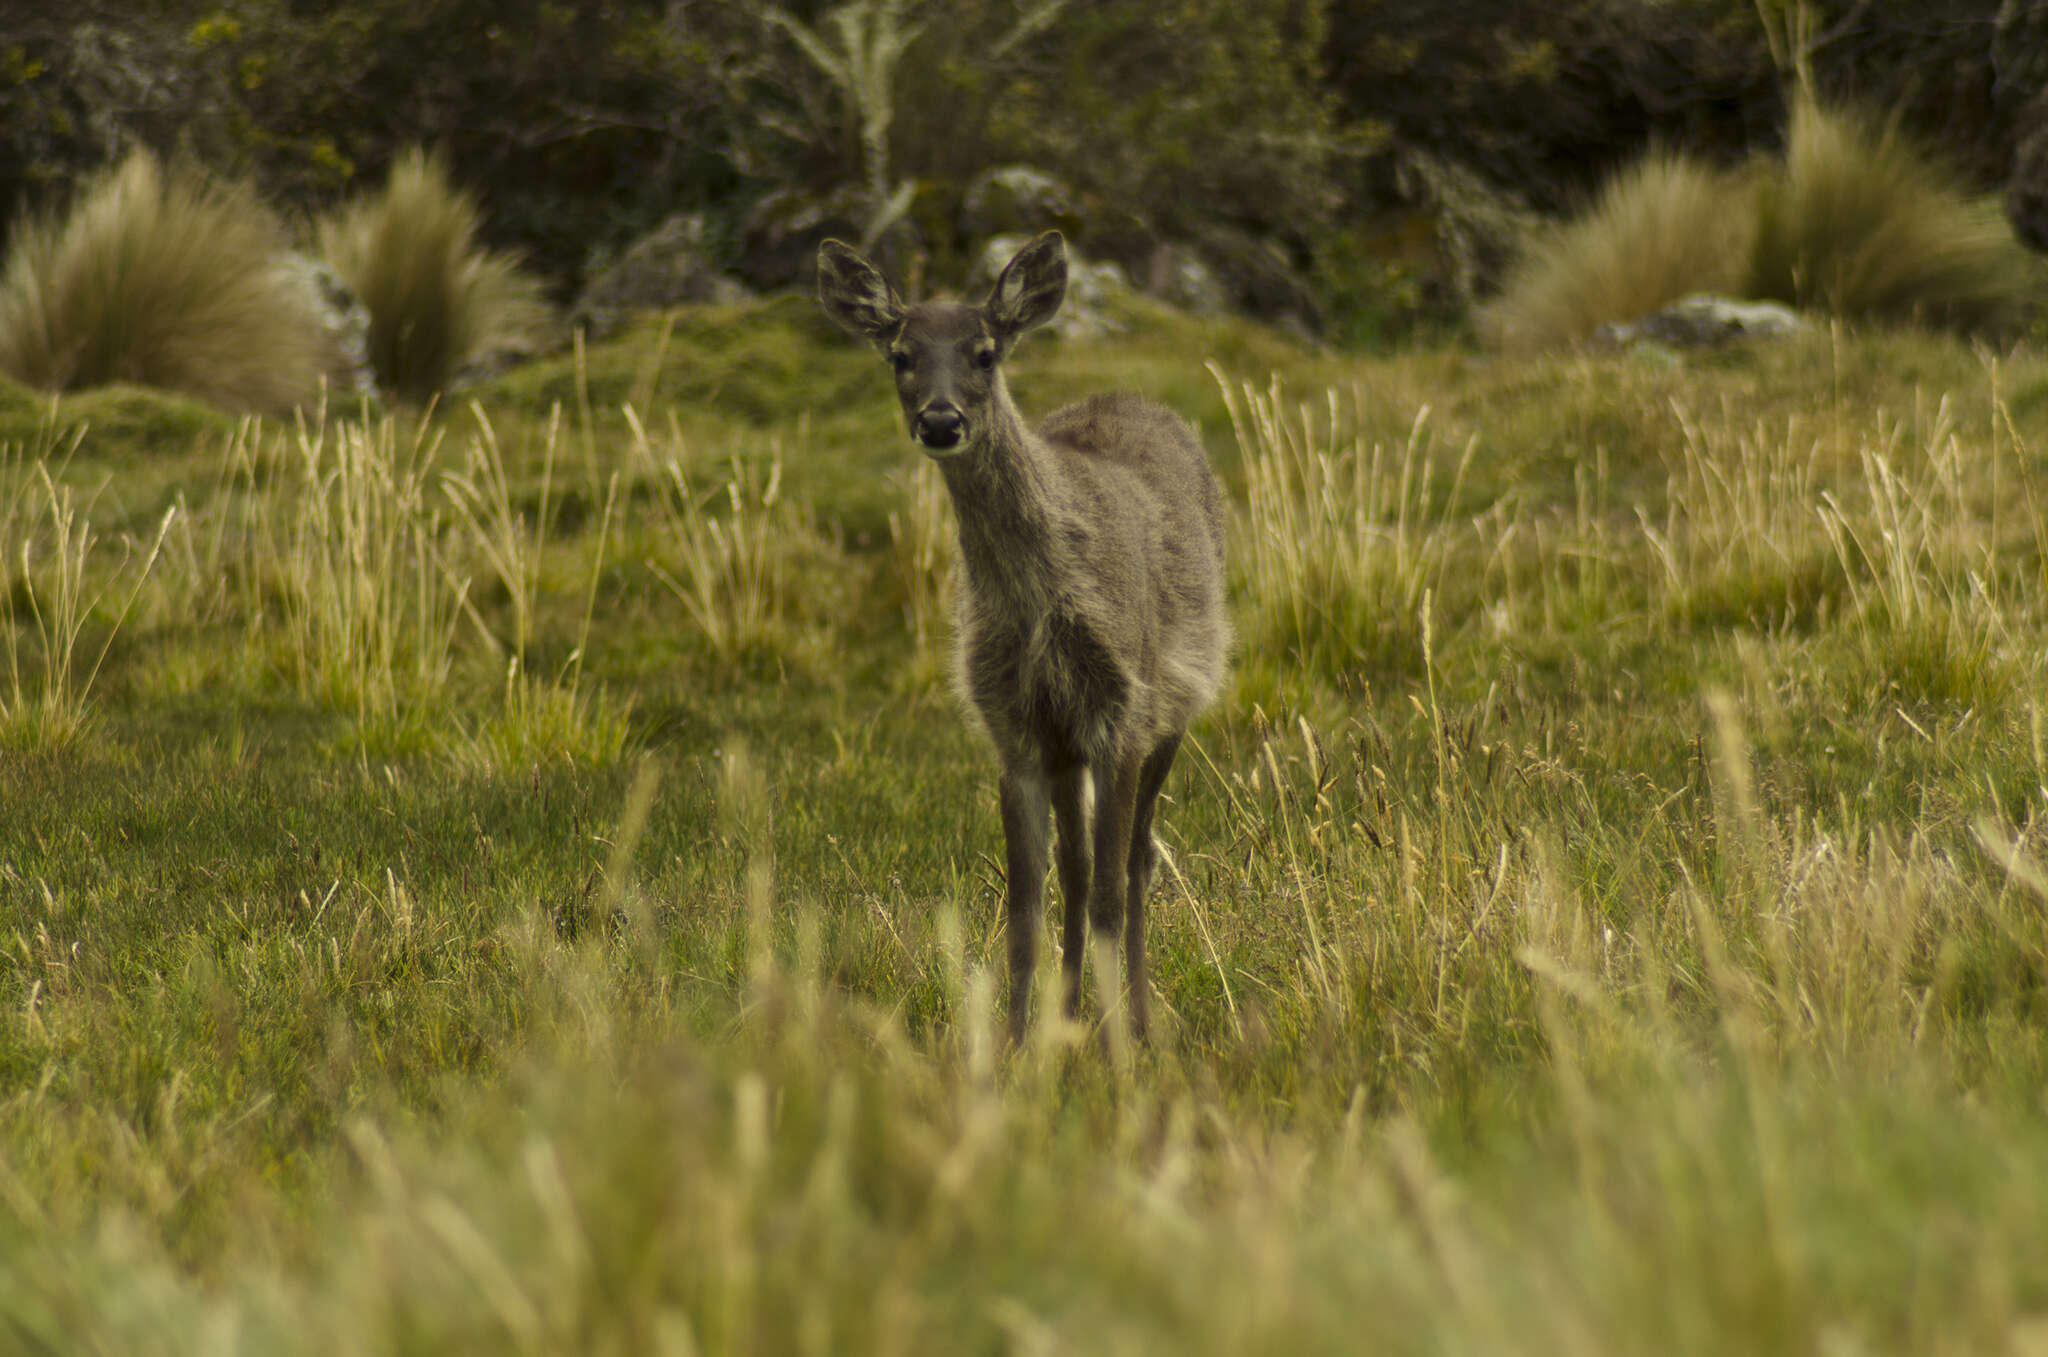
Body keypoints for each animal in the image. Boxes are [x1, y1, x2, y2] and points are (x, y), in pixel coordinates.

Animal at [819, 233, 1228, 1043]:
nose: (940, 421)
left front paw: (1116, 1049)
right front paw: (1014, 1044)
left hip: (1175, 705)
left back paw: (1138, 1020)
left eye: (984, 352)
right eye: (900, 354)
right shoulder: (1015, 725)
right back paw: (1067, 1019)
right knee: (1076, 866)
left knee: (1136, 860)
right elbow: (1024, 907)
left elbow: (1109, 894)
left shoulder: (1122, 710)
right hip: (1068, 745)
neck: (1040, 604)